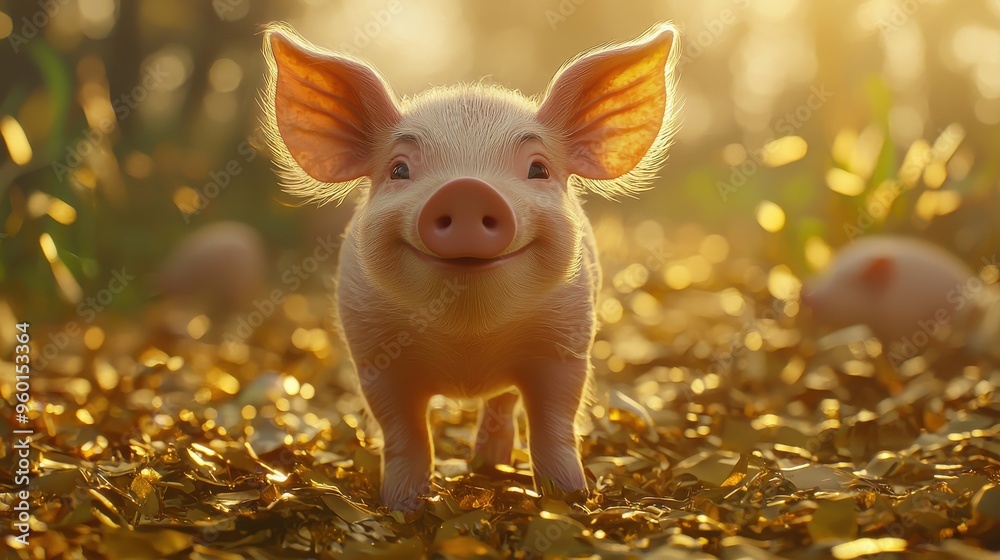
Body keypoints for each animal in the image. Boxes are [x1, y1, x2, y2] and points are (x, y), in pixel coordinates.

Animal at [262, 22, 679, 510]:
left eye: (538, 169)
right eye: (399, 170)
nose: (466, 189)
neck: (468, 342)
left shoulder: (568, 346)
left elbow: (553, 425)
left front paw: (570, 499)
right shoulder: (373, 356)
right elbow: (405, 433)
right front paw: (402, 507)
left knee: (502, 404)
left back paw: (489, 466)